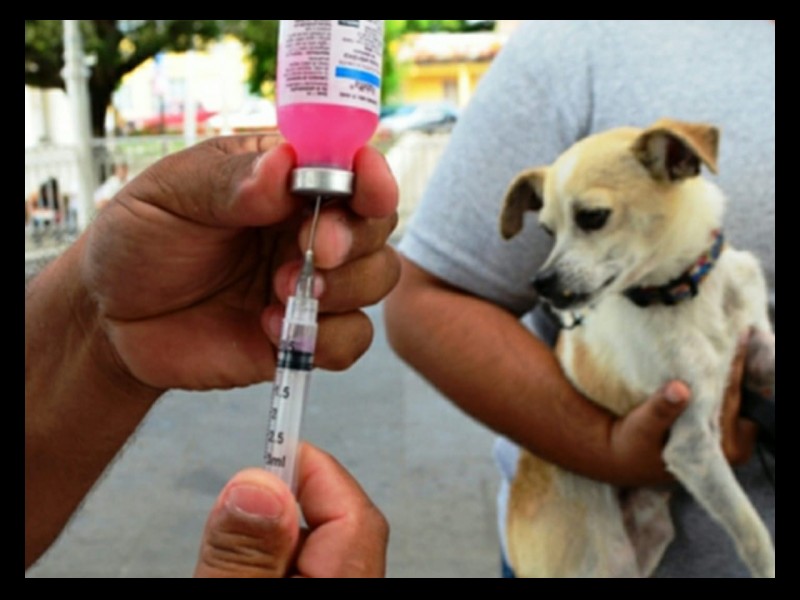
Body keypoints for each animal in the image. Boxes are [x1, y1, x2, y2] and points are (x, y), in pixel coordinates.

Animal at [499, 119, 775, 578]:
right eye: (547, 232)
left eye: (592, 217)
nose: (541, 283)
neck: (686, 292)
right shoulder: (693, 446)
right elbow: (751, 530)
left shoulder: (757, 350)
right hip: (598, 562)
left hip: (648, 538)